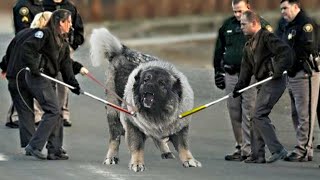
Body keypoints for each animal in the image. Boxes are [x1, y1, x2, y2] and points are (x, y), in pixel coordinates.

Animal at [89, 27, 201, 172]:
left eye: (162, 83)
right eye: (145, 80)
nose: (149, 85)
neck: (158, 113)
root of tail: (122, 51)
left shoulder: (180, 127)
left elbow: (183, 146)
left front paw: (189, 160)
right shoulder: (132, 125)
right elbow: (137, 146)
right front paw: (137, 163)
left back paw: (166, 151)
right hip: (113, 112)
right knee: (114, 138)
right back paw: (111, 157)